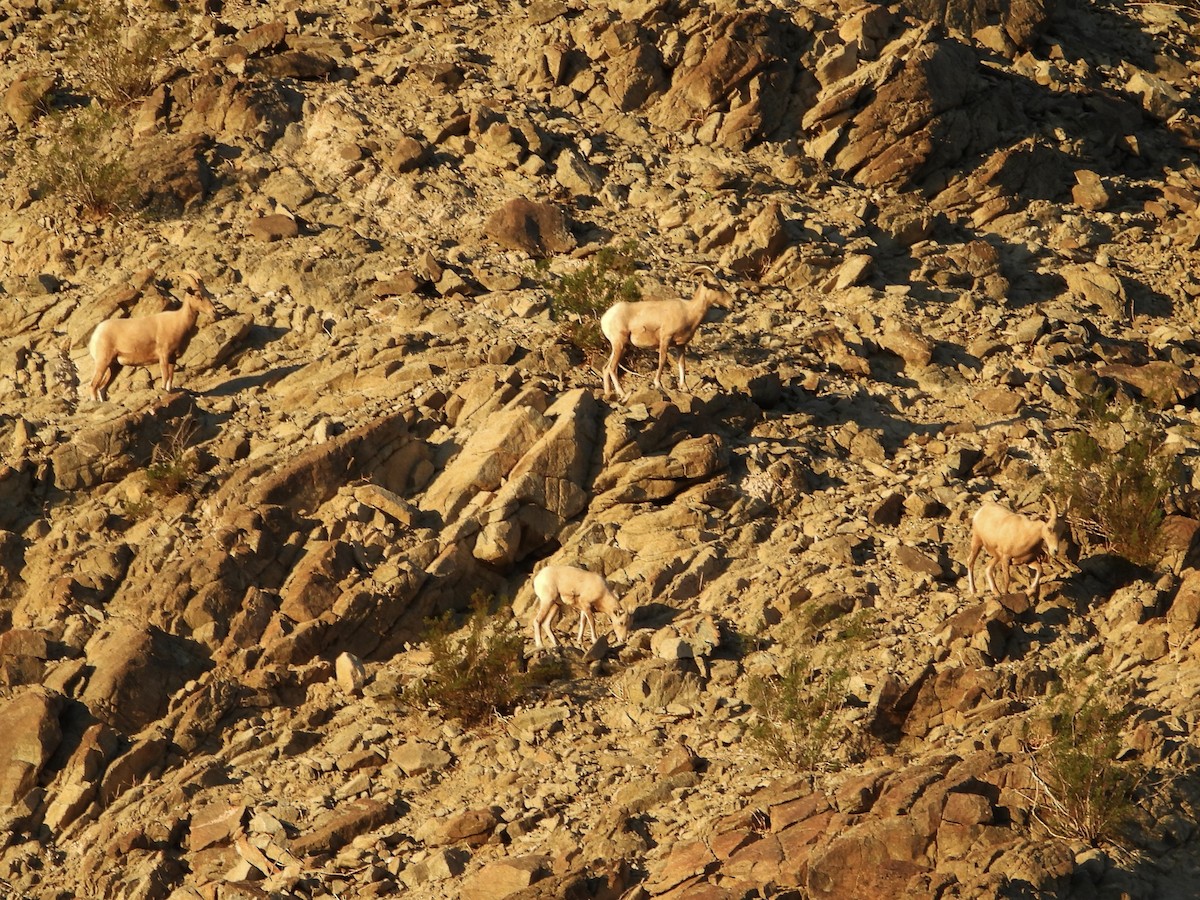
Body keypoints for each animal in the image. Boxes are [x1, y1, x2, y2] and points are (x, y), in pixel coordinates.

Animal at [88, 271, 217, 401]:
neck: (178, 321)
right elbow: (165, 376)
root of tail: (96, 334)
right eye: (198, 296)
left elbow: (170, 378)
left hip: (113, 366)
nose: (213, 311)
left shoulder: (172, 359)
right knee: (93, 385)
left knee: (102, 388)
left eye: (206, 293)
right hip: (102, 362)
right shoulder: (163, 356)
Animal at [600, 279, 731, 400]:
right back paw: (623, 394)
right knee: (612, 368)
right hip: (619, 344)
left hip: (621, 347)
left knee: (606, 368)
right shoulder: (665, 339)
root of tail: (605, 318)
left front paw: (684, 387)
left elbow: (682, 364)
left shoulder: (680, 345)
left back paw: (608, 393)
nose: (731, 303)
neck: (688, 311)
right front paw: (658, 384)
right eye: (717, 287)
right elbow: (662, 360)